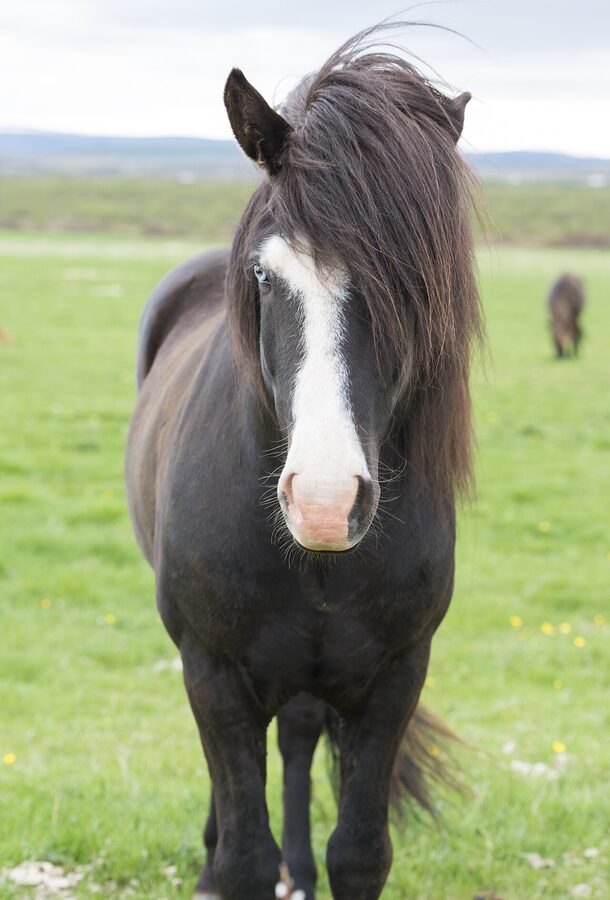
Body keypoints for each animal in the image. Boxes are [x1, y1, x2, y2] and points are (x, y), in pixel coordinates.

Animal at [125, 26, 482, 900]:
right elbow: (243, 855)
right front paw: (229, 864)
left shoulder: (394, 678)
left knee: (294, 736)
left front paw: (309, 866)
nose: (324, 501)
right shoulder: (214, 673)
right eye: (263, 273)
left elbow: (358, 854)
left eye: (413, 286)